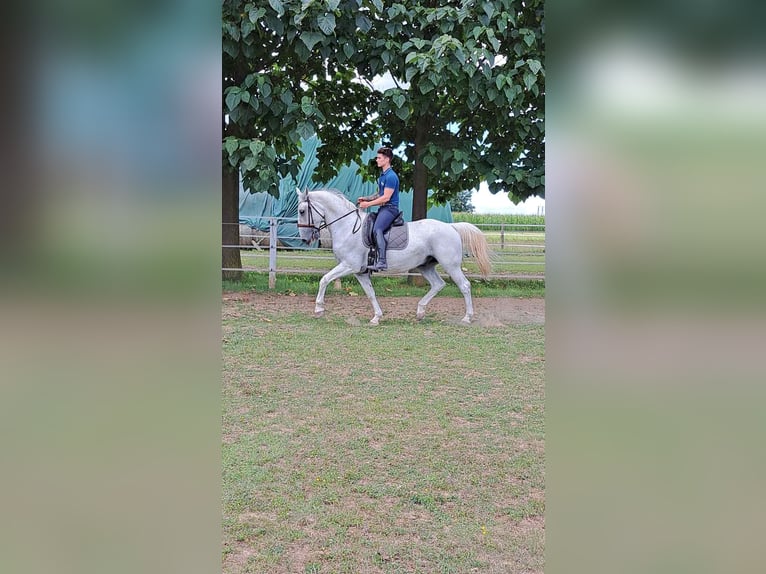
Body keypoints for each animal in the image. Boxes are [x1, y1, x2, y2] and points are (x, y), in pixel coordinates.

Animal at [294, 189, 492, 324]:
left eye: (302, 211)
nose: (304, 239)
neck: (348, 226)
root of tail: (451, 227)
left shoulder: (349, 265)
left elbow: (324, 279)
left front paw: (319, 308)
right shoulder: (360, 272)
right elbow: (370, 293)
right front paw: (376, 317)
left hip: (451, 265)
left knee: (464, 286)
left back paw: (467, 318)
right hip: (425, 266)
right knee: (438, 284)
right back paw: (420, 312)